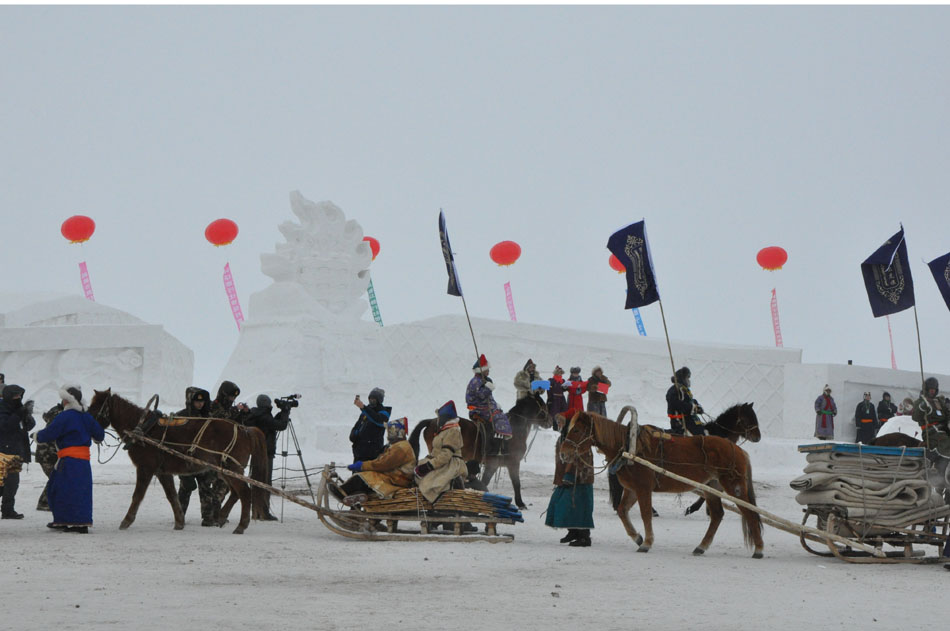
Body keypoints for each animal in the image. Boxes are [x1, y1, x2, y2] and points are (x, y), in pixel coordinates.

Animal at [89, 390, 270, 532]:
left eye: (94, 408)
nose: (90, 428)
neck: (143, 428)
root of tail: (244, 429)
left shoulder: (145, 467)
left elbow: (138, 495)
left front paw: (126, 521)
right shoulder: (162, 471)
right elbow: (172, 495)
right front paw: (179, 522)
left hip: (231, 468)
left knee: (244, 492)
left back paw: (241, 525)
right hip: (225, 470)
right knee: (234, 492)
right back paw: (222, 516)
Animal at [410, 392, 556, 512]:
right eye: (543, 405)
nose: (550, 421)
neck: (515, 430)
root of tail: (431, 421)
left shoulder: (495, 464)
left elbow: (486, 481)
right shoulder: (511, 463)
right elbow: (515, 482)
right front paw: (520, 503)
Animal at [556, 412, 768, 560]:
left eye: (576, 430)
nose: (563, 453)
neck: (629, 447)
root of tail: (738, 450)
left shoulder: (643, 488)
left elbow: (646, 514)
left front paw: (647, 542)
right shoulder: (632, 489)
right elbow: (622, 511)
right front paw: (637, 537)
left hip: (734, 487)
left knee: (750, 512)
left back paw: (758, 548)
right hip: (711, 487)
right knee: (717, 515)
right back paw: (701, 546)